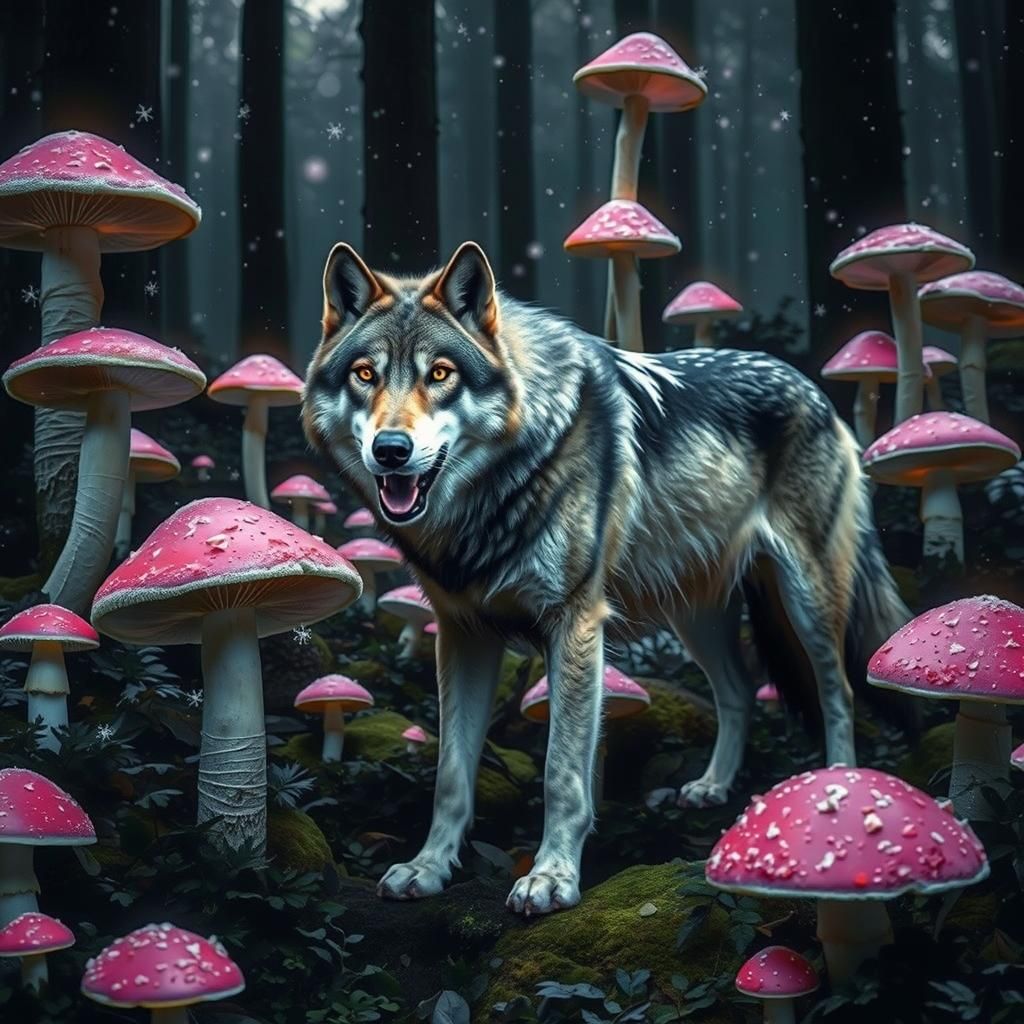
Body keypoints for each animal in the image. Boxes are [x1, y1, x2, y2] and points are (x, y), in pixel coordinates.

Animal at [303, 240, 909, 916]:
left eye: (440, 374)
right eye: (365, 374)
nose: (391, 451)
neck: (496, 493)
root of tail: (812, 386)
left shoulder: (576, 625)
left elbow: (562, 773)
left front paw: (552, 878)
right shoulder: (462, 633)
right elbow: (452, 776)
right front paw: (429, 868)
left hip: (808, 601)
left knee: (838, 693)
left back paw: (839, 789)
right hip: (697, 619)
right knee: (740, 691)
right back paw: (711, 786)